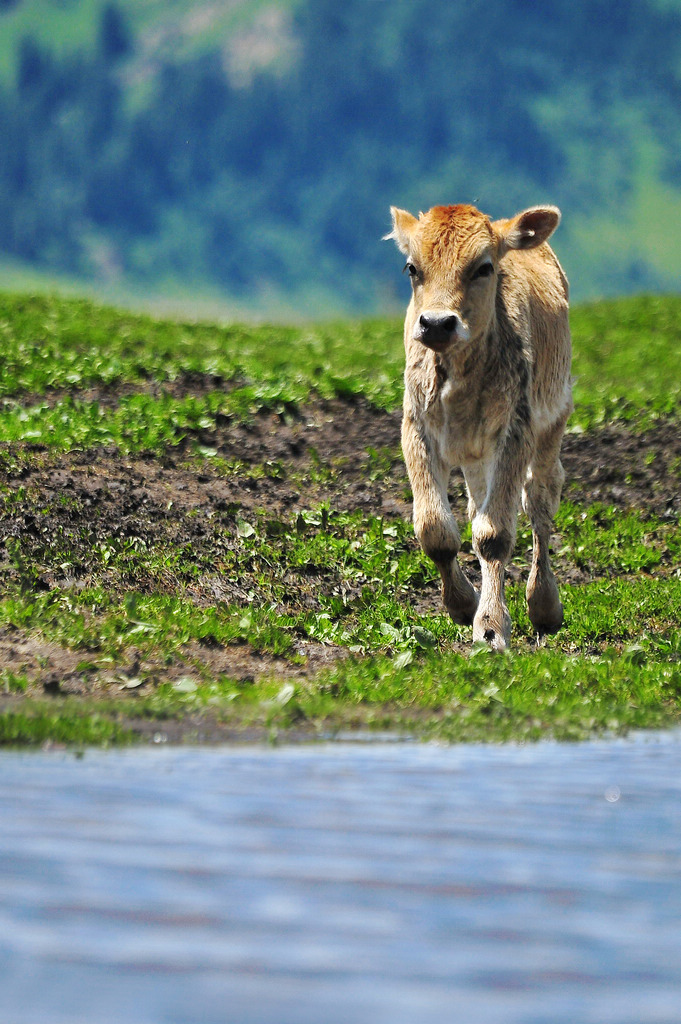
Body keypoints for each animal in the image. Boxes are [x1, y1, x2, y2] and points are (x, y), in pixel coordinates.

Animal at [385, 199, 569, 647]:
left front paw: (490, 627)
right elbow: (435, 529)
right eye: (411, 267)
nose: (436, 323)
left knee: (540, 500)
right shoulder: (416, 428)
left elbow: (494, 535)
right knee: (476, 506)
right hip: (475, 456)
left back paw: (543, 604)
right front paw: (462, 604)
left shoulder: (515, 431)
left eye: (484, 267)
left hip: (553, 421)